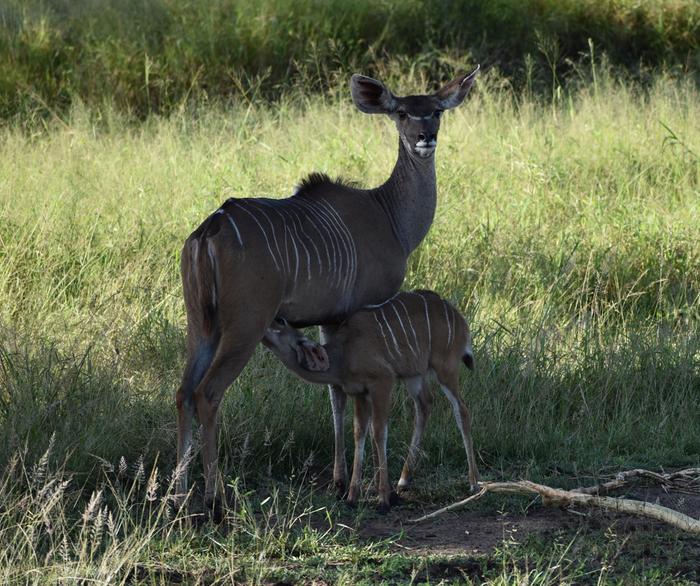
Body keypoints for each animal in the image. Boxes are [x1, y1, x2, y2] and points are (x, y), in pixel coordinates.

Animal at [264, 290, 482, 508]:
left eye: (281, 320)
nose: (267, 321)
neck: (344, 354)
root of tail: (460, 319)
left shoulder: (382, 382)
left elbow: (379, 432)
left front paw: (383, 499)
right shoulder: (360, 393)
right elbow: (359, 432)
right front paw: (352, 496)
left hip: (446, 367)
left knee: (462, 410)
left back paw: (474, 483)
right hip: (414, 375)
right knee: (425, 404)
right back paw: (403, 480)